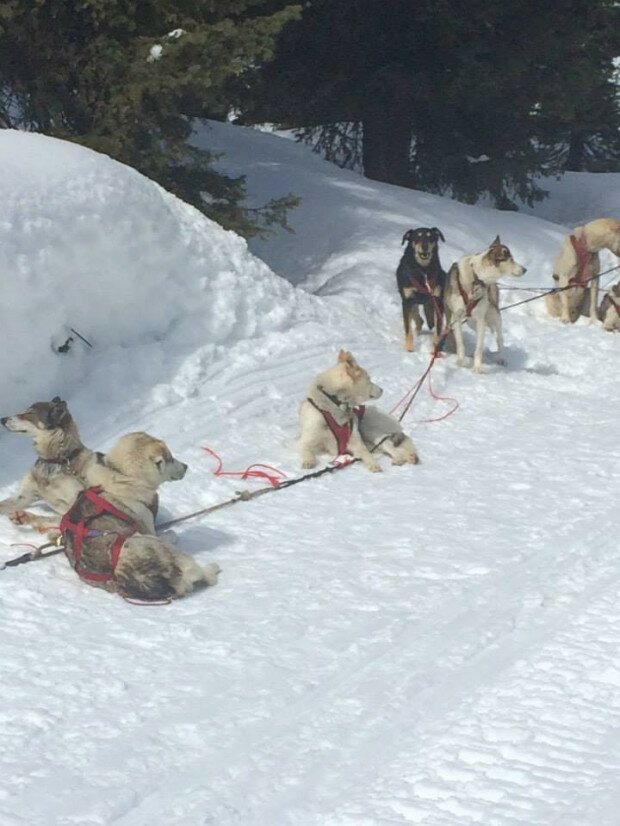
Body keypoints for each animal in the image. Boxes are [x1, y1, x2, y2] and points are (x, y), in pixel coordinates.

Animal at [444, 233, 524, 372]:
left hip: (494, 316)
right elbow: (460, 344)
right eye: (510, 259)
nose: (525, 269)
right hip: (471, 321)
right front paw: (460, 362)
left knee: (499, 339)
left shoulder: (481, 318)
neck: (476, 277)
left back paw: (501, 358)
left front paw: (477, 368)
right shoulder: (456, 318)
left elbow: (479, 347)